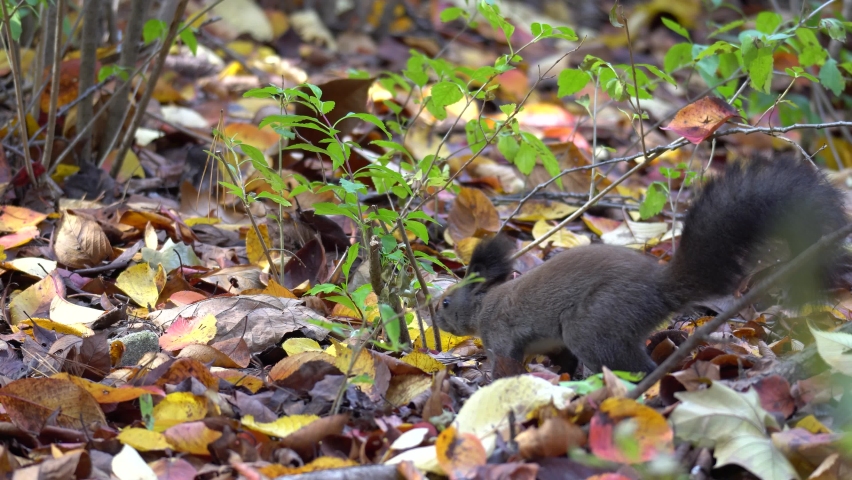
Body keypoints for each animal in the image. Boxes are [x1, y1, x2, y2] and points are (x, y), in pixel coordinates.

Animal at [433, 156, 849, 377]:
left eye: (446, 303)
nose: (431, 315)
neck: (485, 303)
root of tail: (660, 289)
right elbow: (559, 358)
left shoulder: (501, 336)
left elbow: (505, 364)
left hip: (597, 323)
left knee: (633, 363)